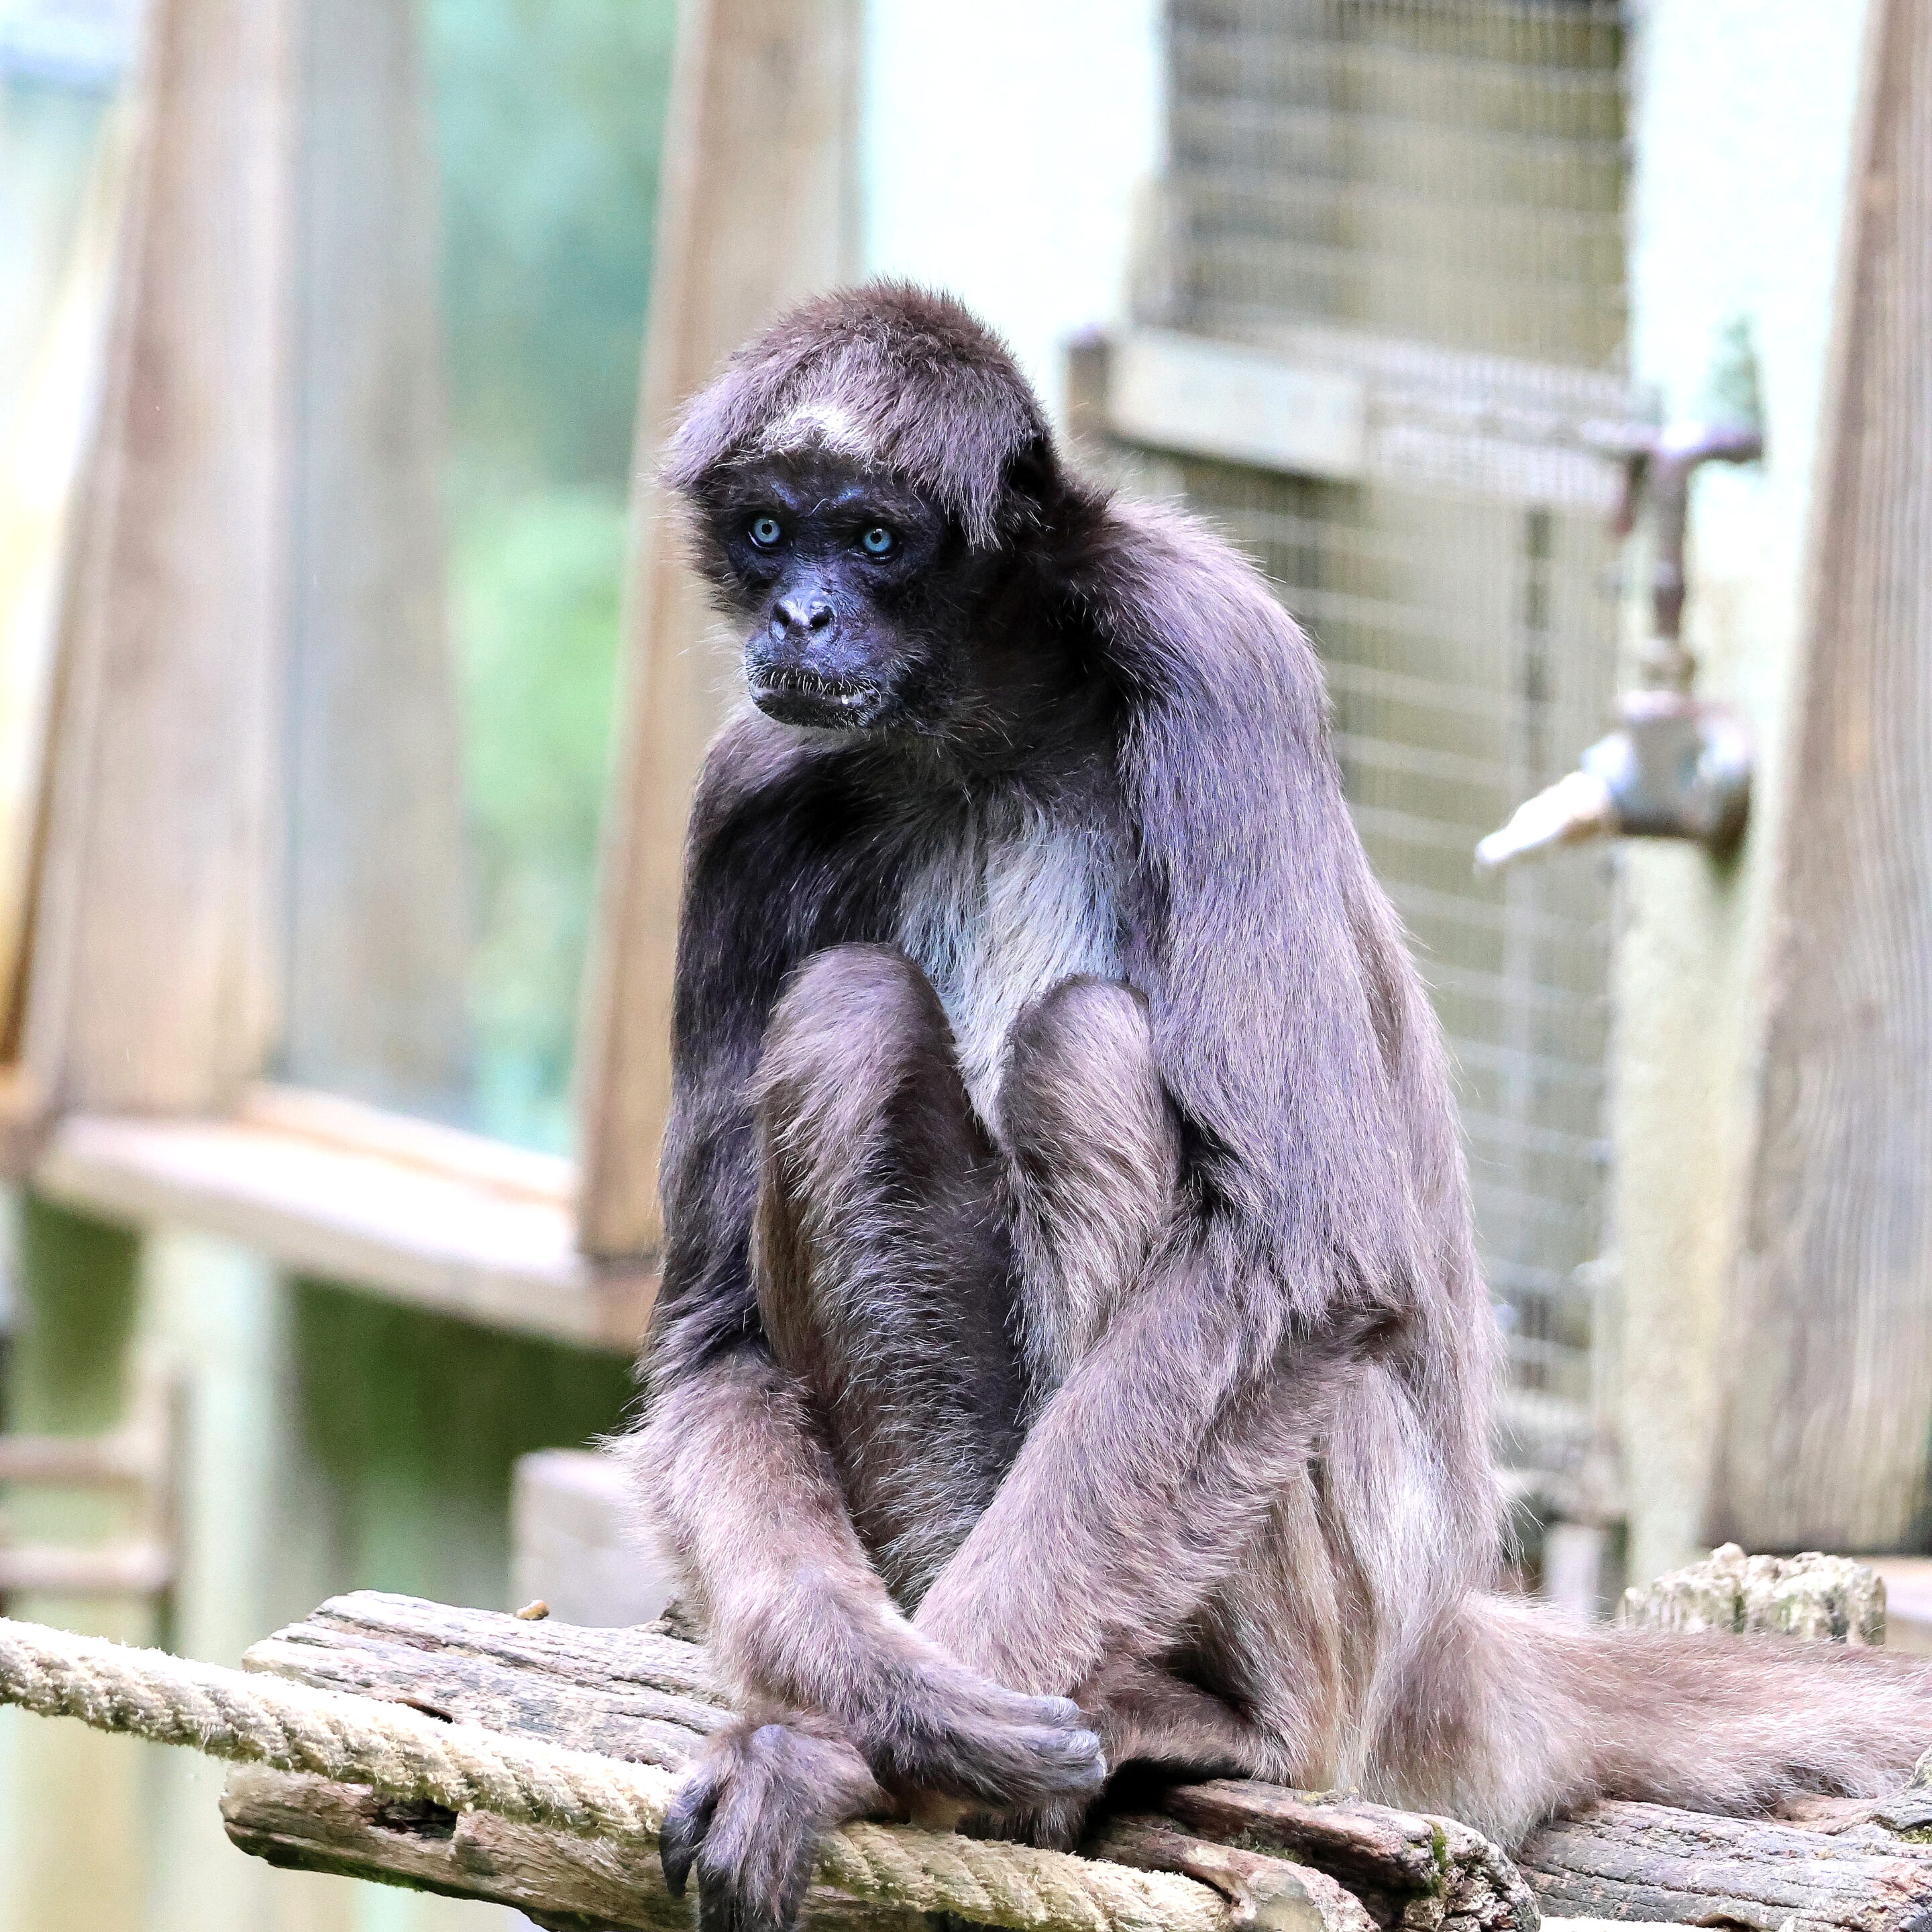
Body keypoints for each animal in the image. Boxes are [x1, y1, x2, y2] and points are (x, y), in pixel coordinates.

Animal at [620, 283, 1932, 1932]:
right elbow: (709, 1342)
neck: (981, 737)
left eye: (872, 539)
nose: (799, 616)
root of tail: (1446, 1644)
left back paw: (1219, 1727)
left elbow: (1309, 1250)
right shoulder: (750, 786)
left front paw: (838, 1751)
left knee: (1090, 1048)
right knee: (852, 1018)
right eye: (769, 531)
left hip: (1366, 1568)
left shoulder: (1210, 652)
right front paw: (882, 1701)